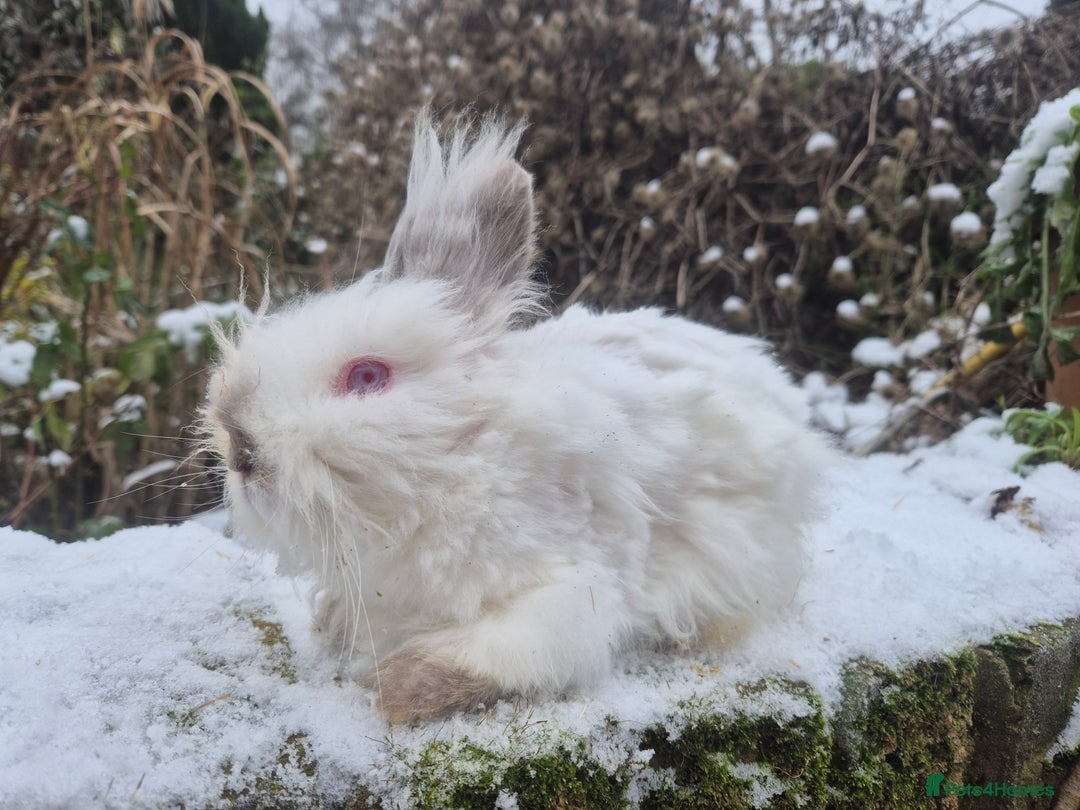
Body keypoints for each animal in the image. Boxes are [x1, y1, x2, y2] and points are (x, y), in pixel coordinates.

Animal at [205, 114, 828, 724]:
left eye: (367, 377)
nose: (240, 449)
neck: (460, 460)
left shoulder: (569, 592)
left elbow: (487, 657)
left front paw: (393, 687)